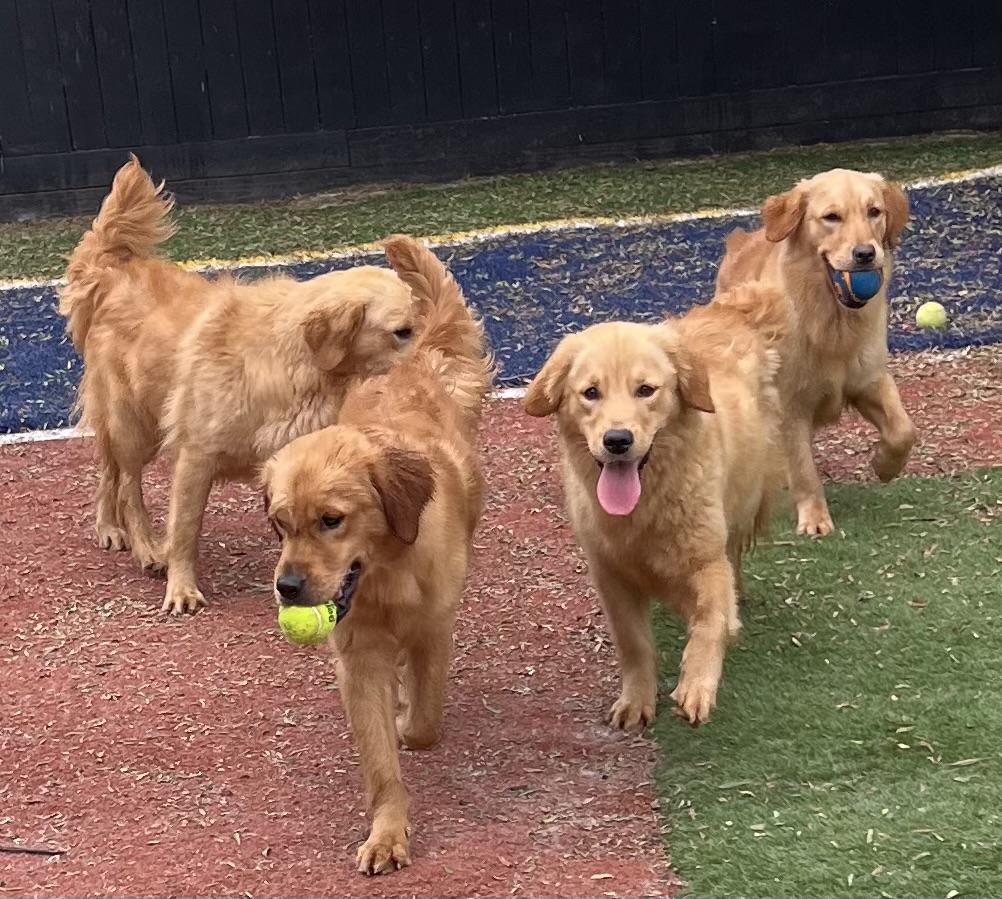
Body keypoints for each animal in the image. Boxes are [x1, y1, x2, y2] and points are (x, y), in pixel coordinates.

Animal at [60, 156, 419, 613]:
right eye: (402, 332)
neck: (290, 358)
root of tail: (114, 270)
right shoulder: (196, 455)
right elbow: (185, 531)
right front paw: (181, 588)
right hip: (134, 425)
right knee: (127, 485)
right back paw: (146, 548)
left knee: (108, 470)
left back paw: (109, 528)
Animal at [262, 236, 493, 874]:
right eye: (279, 523)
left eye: (331, 520)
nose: (287, 587)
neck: (388, 575)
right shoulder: (358, 655)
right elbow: (381, 762)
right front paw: (388, 833)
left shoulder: (434, 628)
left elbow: (423, 723)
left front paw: (410, 719)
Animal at [524, 287, 785, 729]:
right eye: (590, 393)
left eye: (646, 390)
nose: (617, 440)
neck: (643, 506)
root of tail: (733, 308)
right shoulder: (611, 576)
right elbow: (634, 644)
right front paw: (637, 700)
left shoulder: (707, 561)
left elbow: (710, 619)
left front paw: (697, 684)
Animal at [715, 168, 914, 536]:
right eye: (831, 217)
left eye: (874, 211)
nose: (865, 253)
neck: (832, 320)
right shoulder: (790, 403)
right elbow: (804, 469)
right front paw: (815, 519)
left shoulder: (870, 379)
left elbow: (903, 430)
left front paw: (884, 465)